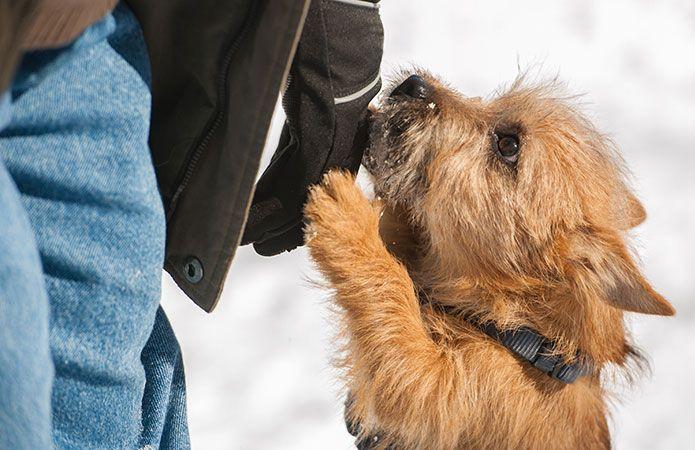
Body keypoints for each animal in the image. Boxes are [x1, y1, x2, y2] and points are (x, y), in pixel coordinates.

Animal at [304, 71, 676, 450]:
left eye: (508, 145)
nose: (412, 84)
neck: (520, 332)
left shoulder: (440, 388)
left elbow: (395, 313)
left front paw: (350, 220)